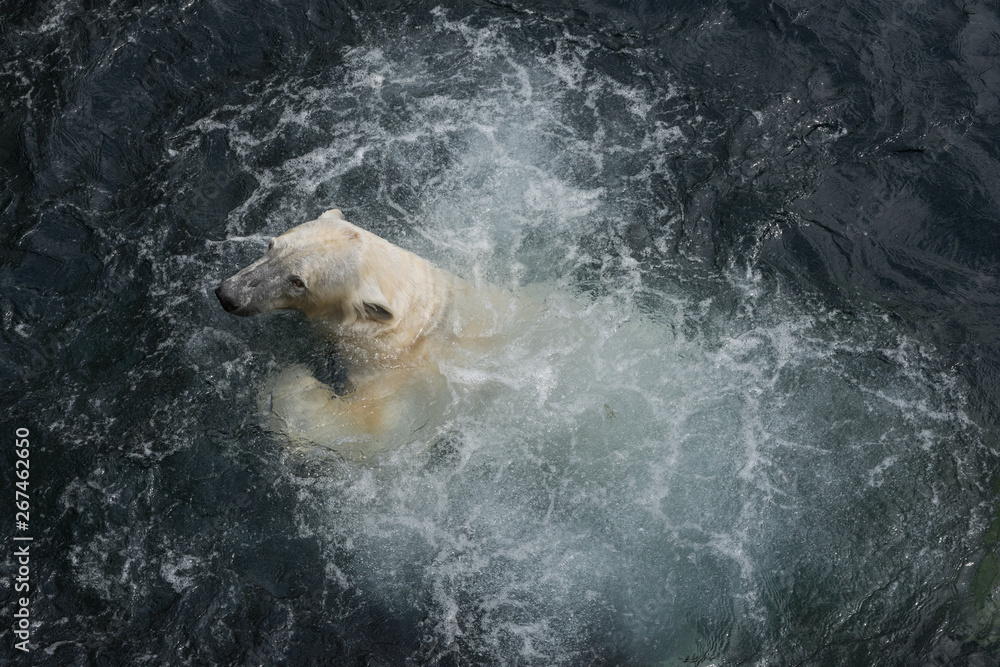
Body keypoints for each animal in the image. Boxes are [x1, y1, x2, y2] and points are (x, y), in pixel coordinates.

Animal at [215, 209, 507, 460]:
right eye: (271, 245)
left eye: (298, 282)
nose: (228, 295)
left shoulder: (413, 385)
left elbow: (366, 431)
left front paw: (290, 380)